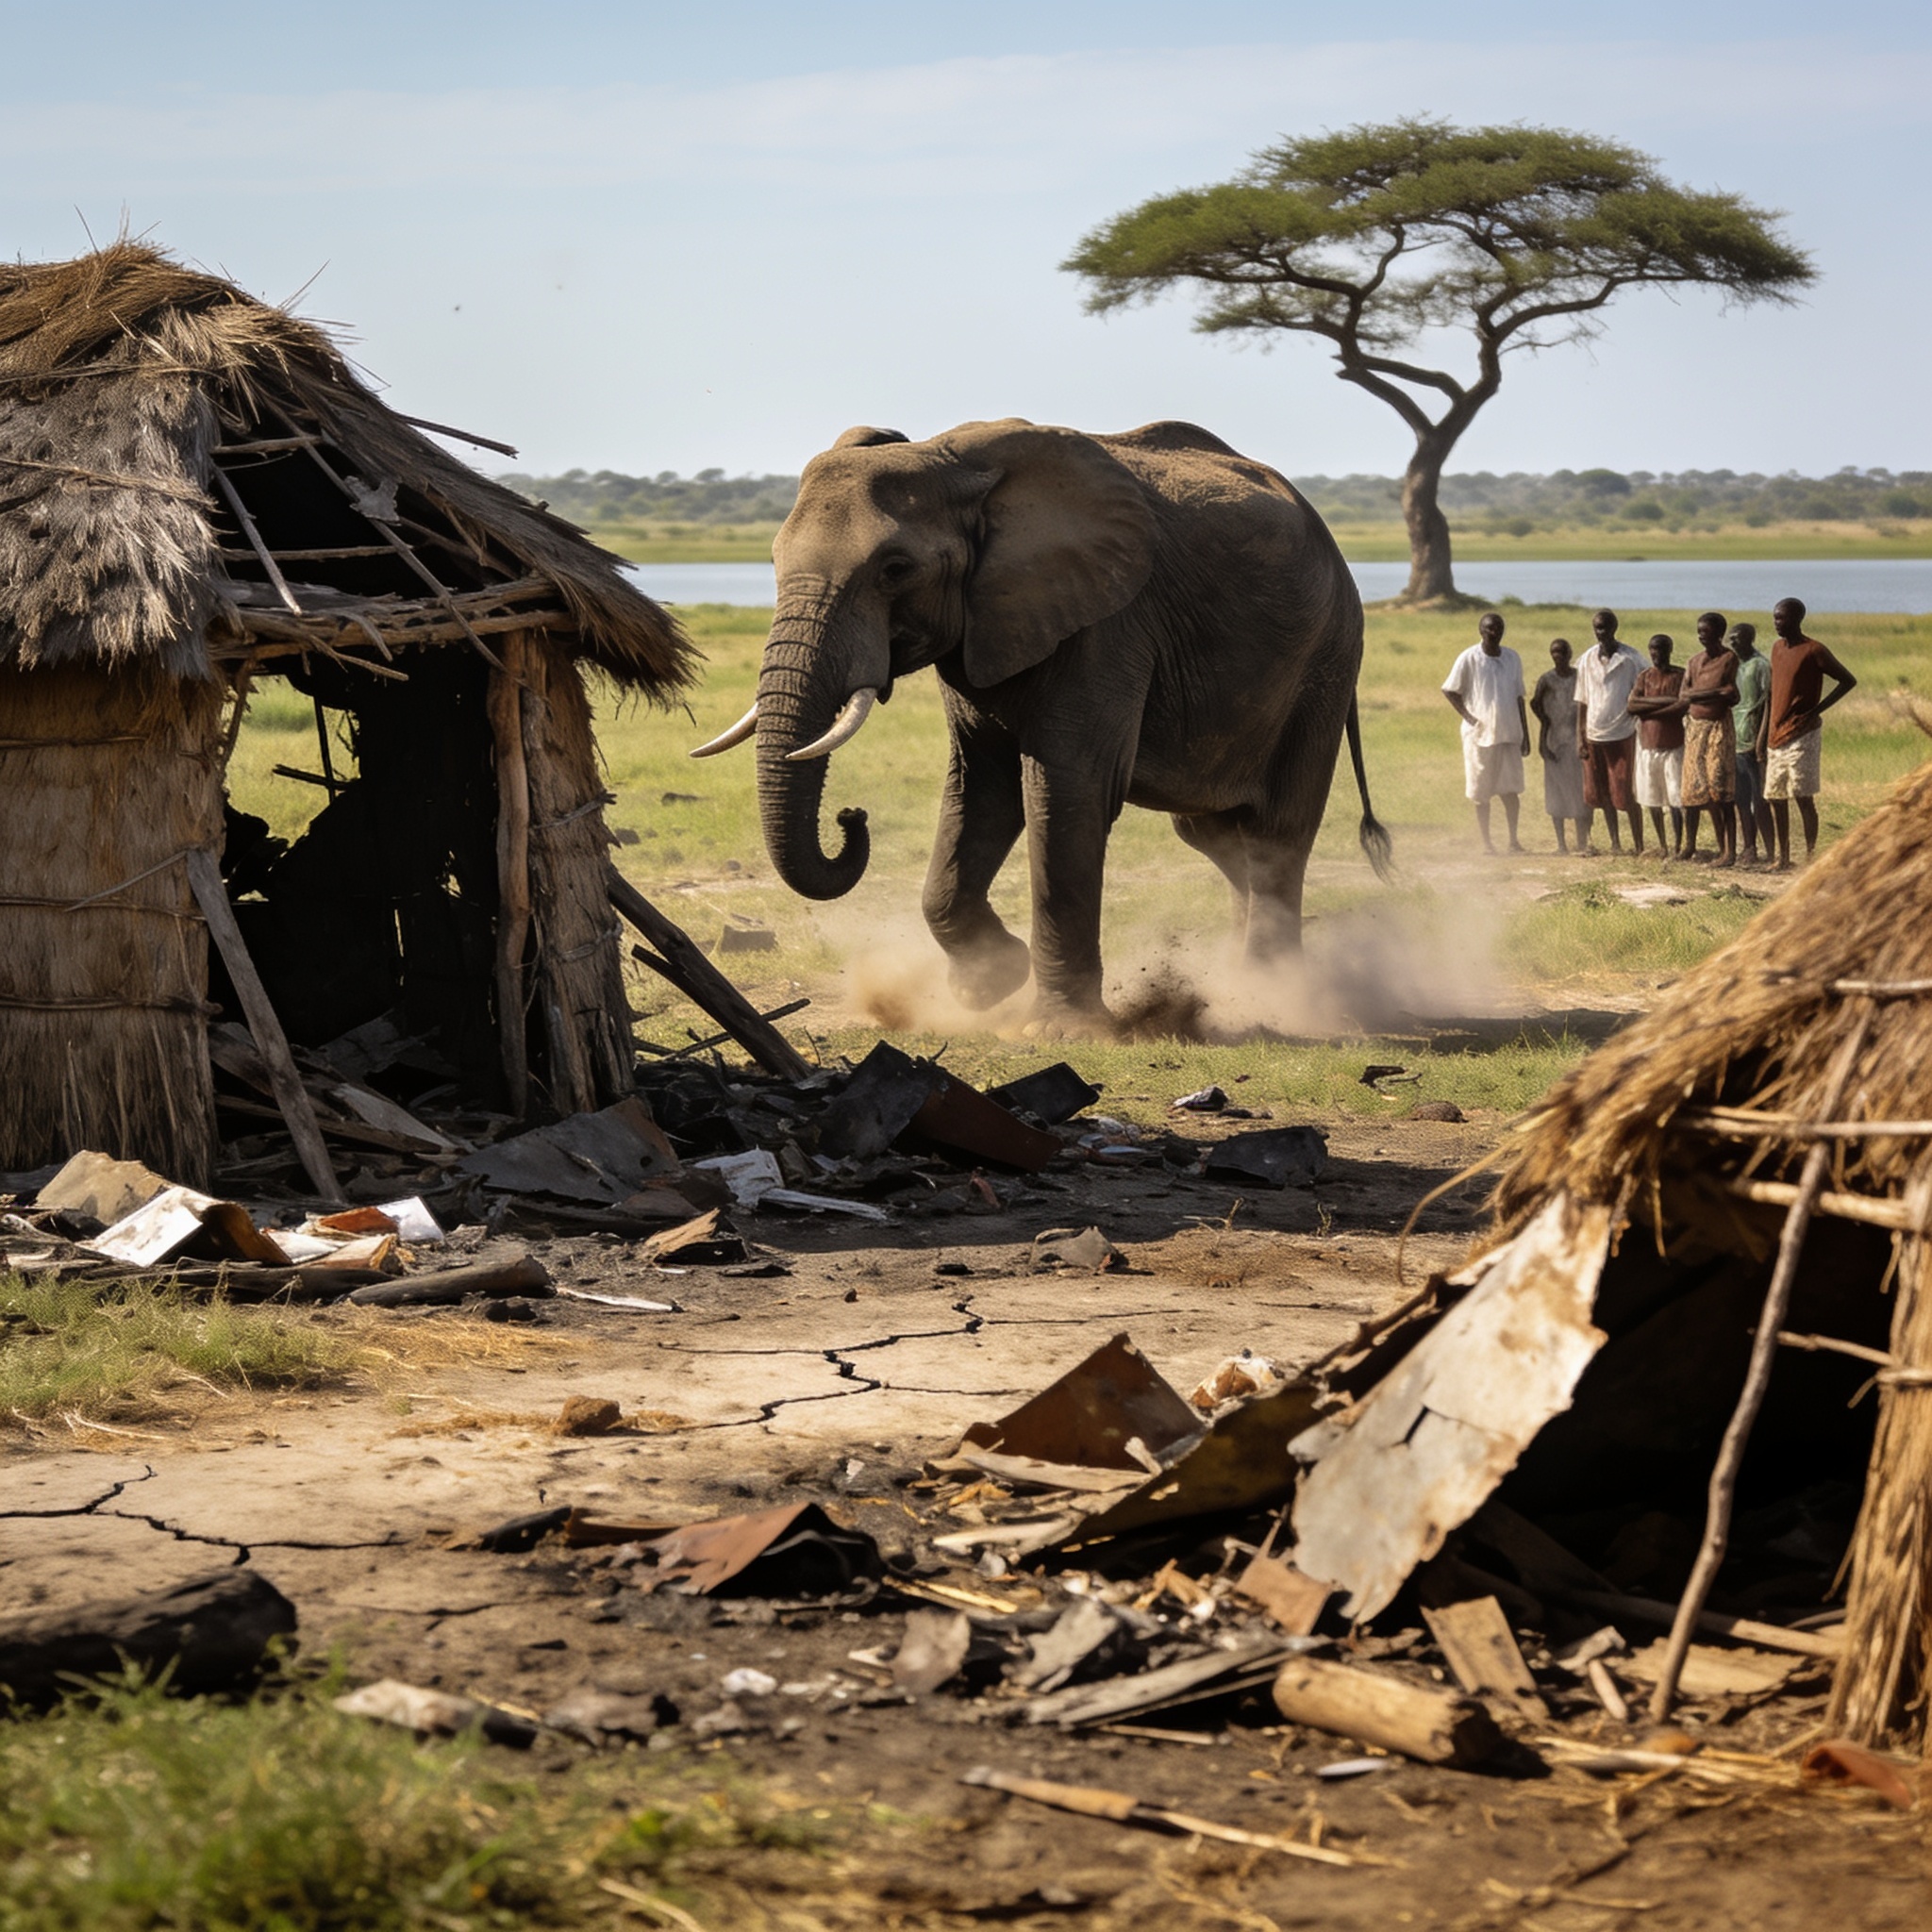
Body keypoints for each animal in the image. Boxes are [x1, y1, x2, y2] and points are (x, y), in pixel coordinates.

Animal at [691, 417, 1391, 1027]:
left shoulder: (1108, 623)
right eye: (773, 563)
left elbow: (1067, 790)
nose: (850, 816)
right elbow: (980, 788)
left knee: (1277, 832)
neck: (950, 460)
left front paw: (1057, 1029)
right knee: (1214, 833)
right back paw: (1241, 986)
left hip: (1327, 659)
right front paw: (987, 987)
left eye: (895, 569)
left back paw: (1274, 996)